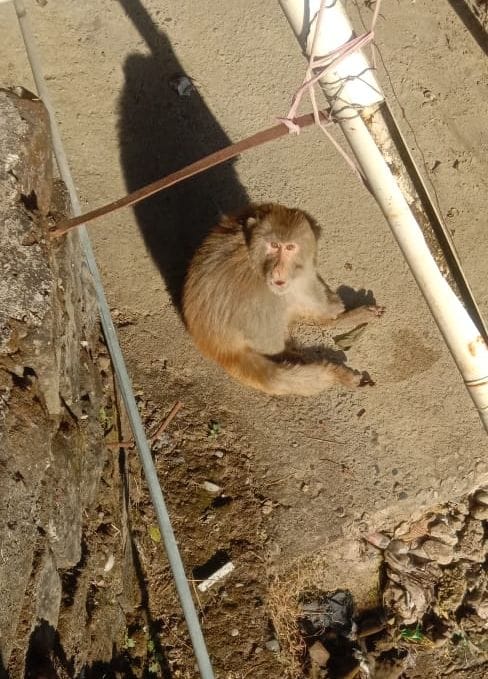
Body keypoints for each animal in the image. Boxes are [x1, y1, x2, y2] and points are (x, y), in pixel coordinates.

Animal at [182, 203, 383, 396]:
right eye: (274, 245)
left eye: (290, 247)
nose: (278, 270)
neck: (254, 259)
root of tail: (213, 345)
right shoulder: (258, 296)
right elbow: (269, 347)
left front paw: (339, 316)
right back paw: (332, 372)